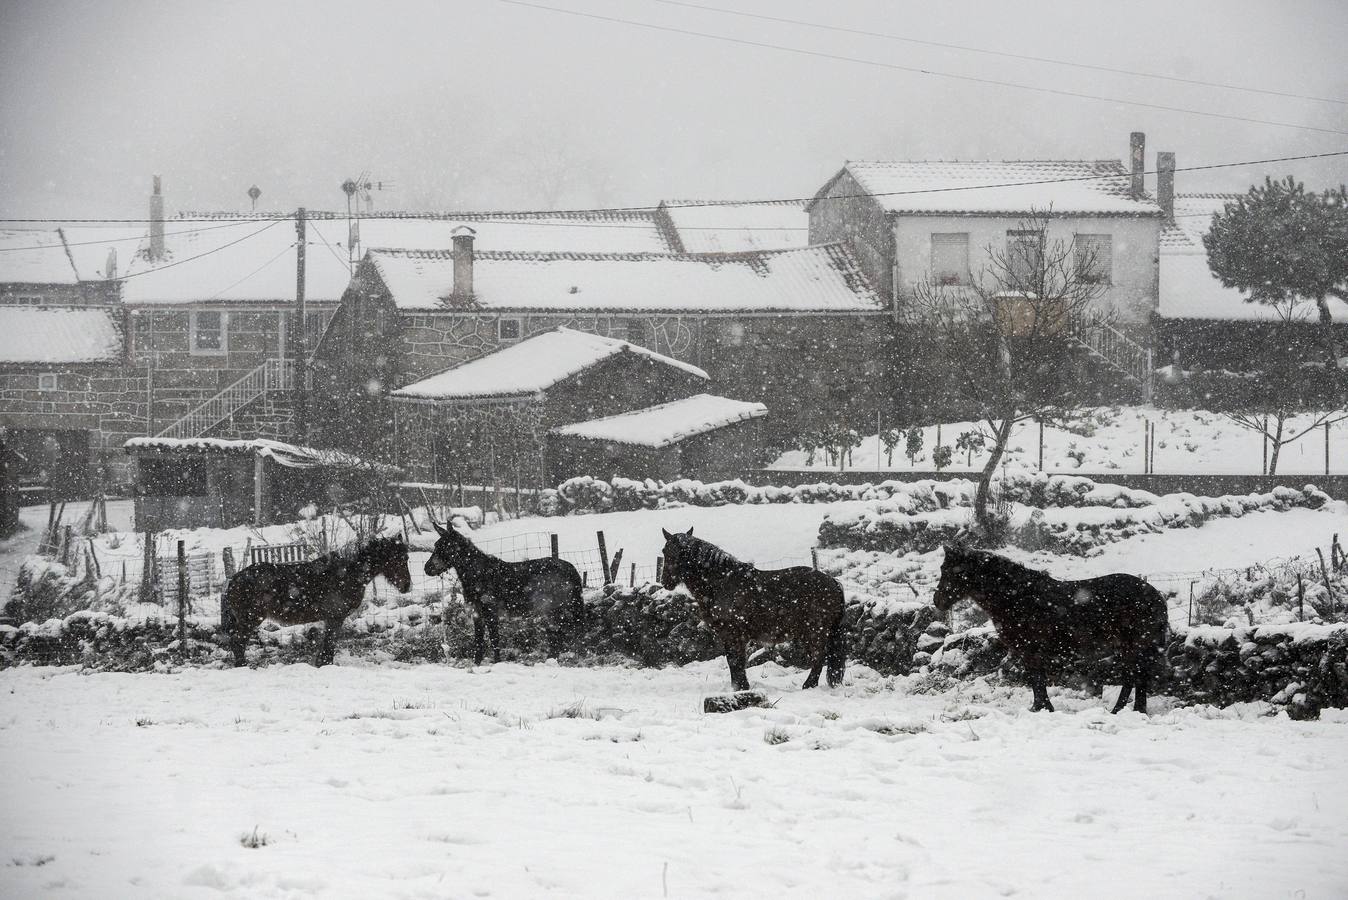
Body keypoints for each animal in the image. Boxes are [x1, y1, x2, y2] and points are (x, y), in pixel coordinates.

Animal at [221, 533, 412, 668]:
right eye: (398, 559)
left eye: (406, 558)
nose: (407, 585)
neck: (347, 575)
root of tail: (234, 580)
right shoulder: (335, 618)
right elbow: (329, 644)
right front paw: (325, 664)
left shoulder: (332, 619)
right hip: (250, 619)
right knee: (238, 642)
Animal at [425, 520, 585, 660]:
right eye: (436, 545)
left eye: (446, 546)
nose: (427, 568)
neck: (478, 574)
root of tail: (571, 569)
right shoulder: (477, 613)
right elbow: (478, 642)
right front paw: (477, 664)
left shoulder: (490, 612)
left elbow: (494, 640)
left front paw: (497, 662)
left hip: (553, 610)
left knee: (562, 635)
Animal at [655, 528, 841, 689]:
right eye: (665, 550)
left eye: (682, 552)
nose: (666, 581)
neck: (721, 583)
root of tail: (833, 582)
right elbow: (735, 662)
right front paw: (739, 687)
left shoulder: (733, 634)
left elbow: (735, 661)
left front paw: (741, 687)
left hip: (815, 632)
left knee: (819, 657)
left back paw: (808, 685)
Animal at [932, 544, 1164, 711]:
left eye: (949, 570)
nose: (937, 601)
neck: (1018, 598)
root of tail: (1155, 594)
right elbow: (1037, 681)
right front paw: (1041, 707)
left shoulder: (1030, 651)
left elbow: (1037, 680)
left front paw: (1041, 708)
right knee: (1135, 677)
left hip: (1133, 647)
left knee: (1135, 677)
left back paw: (1122, 710)